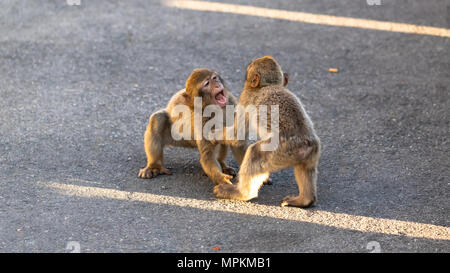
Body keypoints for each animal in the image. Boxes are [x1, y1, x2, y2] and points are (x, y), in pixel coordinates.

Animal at [212, 56, 320, 207]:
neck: (265, 86)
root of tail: (305, 144)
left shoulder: (245, 98)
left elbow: (237, 136)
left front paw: (212, 134)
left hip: (280, 151)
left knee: (255, 153)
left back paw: (241, 193)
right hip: (308, 153)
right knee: (304, 166)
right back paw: (305, 200)